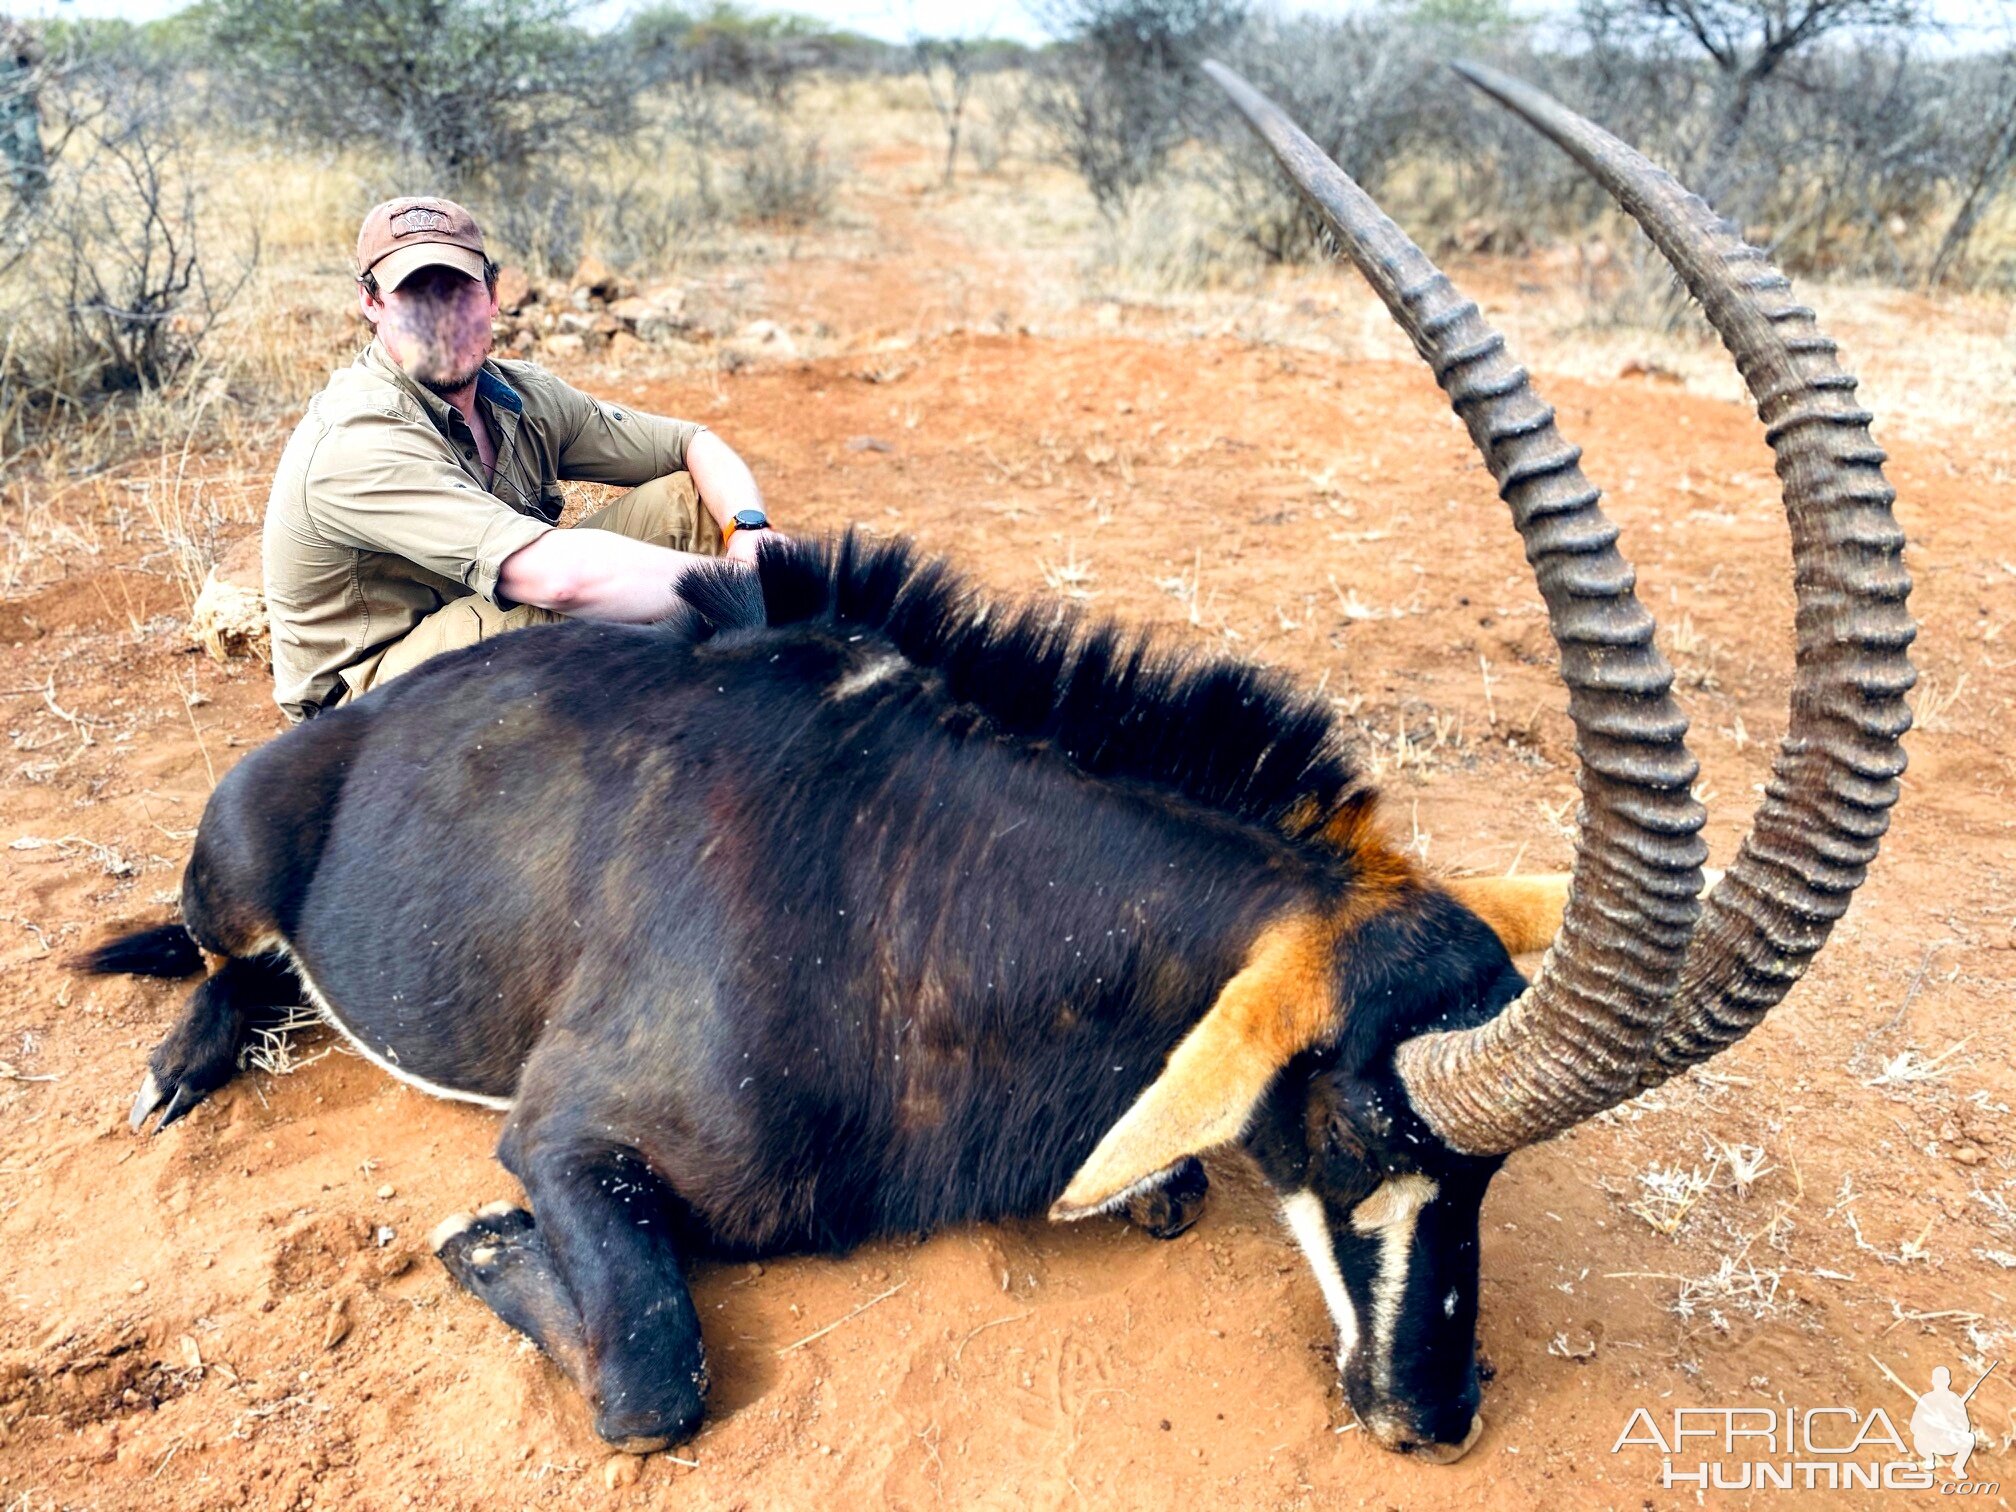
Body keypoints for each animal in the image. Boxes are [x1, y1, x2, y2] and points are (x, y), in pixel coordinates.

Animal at [74, 68, 1903, 1467]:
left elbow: (1156, 1186)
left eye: (1490, 1175)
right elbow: (650, 1377)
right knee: (228, 960)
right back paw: (179, 1064)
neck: (914, 899)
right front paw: (477, 1237)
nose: (1432, 1414)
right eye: (1363, 1134)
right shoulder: (569, 1139)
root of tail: (345, 733)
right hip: (243, 869)